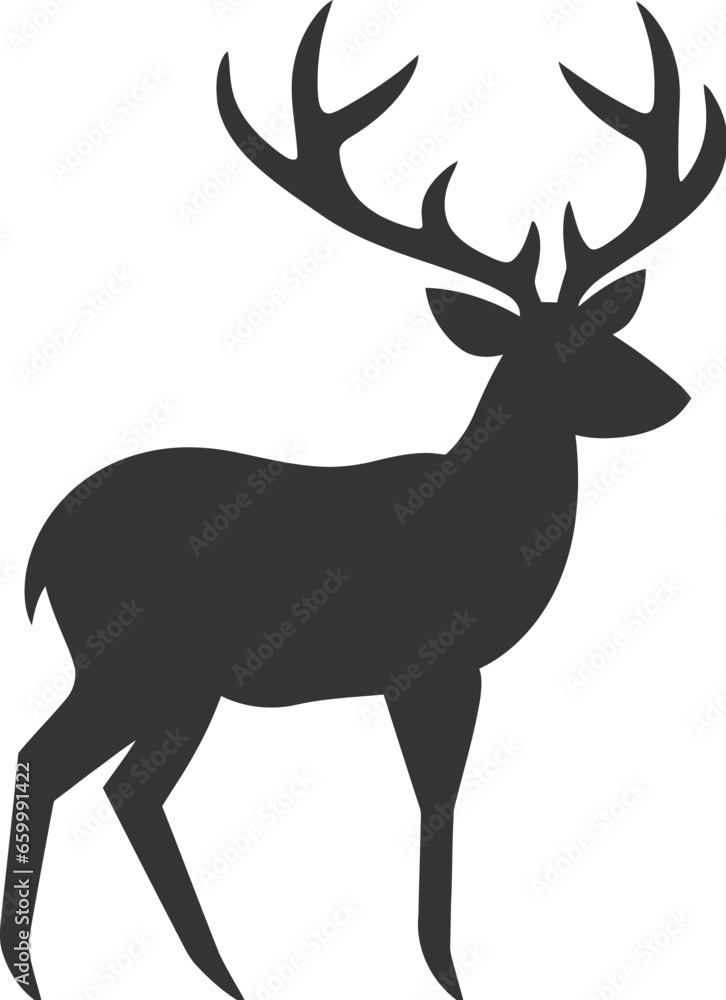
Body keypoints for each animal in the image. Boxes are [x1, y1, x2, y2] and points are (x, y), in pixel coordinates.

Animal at [3, 4, 725, 999]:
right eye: (555, 353)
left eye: (606, 330)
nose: (677, 395)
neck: (488, 523)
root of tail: (41, 549)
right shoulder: (431, 662)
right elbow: (436, 803)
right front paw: (447, 975)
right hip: (140, 659)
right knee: (57, 760)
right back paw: (69, 971)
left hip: (172, 681)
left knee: (121, 784)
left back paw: (210, 972)